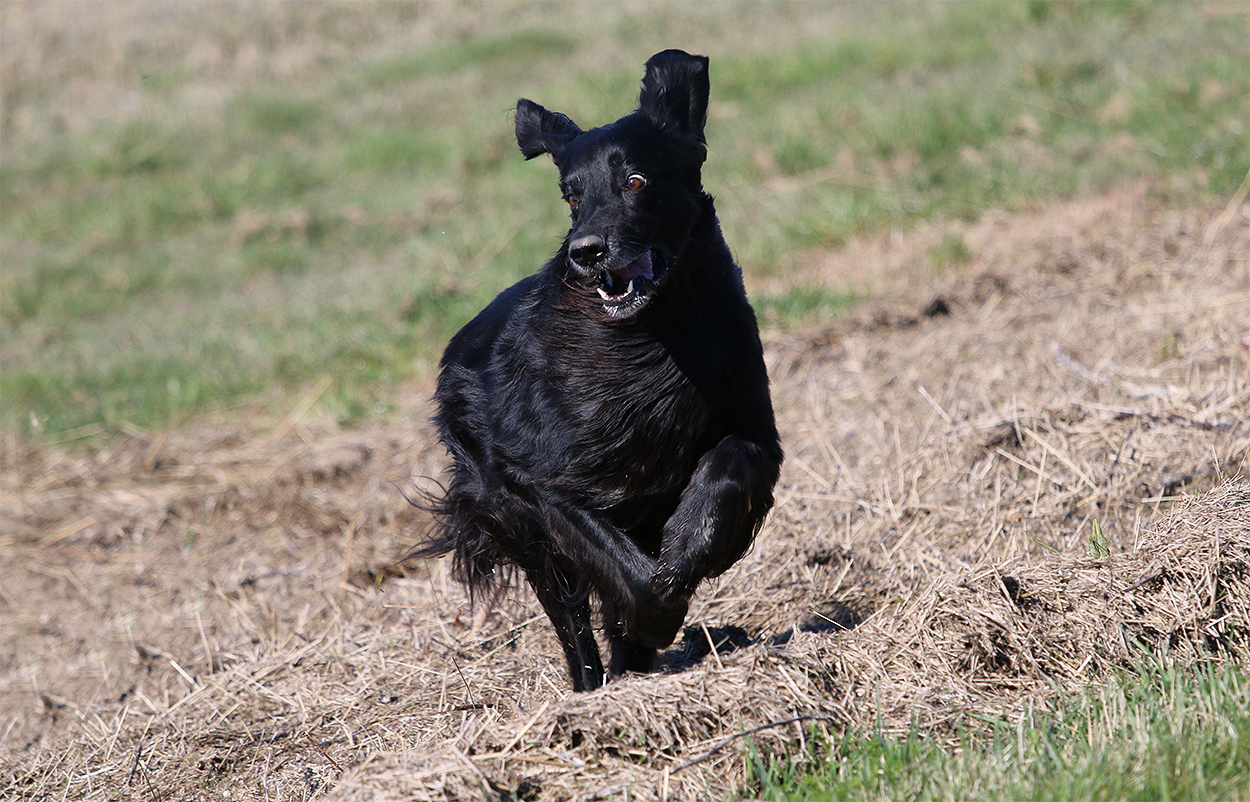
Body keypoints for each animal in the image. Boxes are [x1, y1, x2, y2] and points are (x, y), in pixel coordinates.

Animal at [422, 50, 782, 691]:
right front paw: (660, 608)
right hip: (520, 528)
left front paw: (688, 543)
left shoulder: (756, 431)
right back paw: (594, 688)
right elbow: (621, 571)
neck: (653, 333)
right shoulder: (540, 485)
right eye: (571, 197)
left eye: (634, 181)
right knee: (573, 621)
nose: (585, 251)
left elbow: (730, 459)